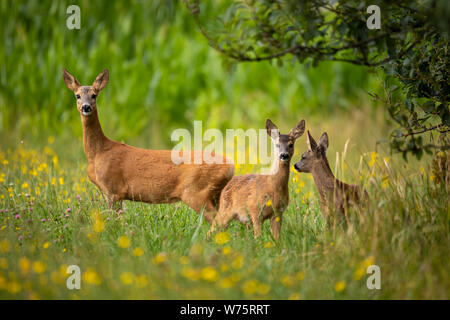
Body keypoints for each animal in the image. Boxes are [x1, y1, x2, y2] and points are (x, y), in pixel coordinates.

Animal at [61, 68, 234, 222]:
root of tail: (231, 166)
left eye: (94, 95)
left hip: (195, 192)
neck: (97, 153)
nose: (86, 107)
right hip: (214, 194)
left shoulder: (113, 189)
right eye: (77, 95)